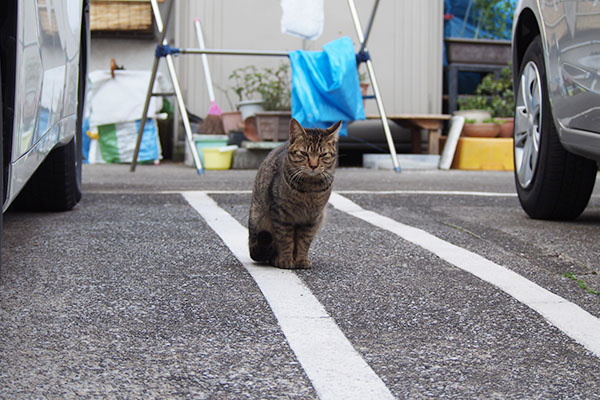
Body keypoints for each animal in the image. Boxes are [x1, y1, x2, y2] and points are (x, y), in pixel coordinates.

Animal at [250, 118, 342, 268]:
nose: (313, 165)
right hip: (260, 219)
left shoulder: (311, 218)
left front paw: (301, 260)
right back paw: (276, 258)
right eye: (304, 154)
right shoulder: (281, 214)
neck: (309, 189)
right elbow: (285, 239)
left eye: (323, 155)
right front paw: (286, 260)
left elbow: (303, 242)